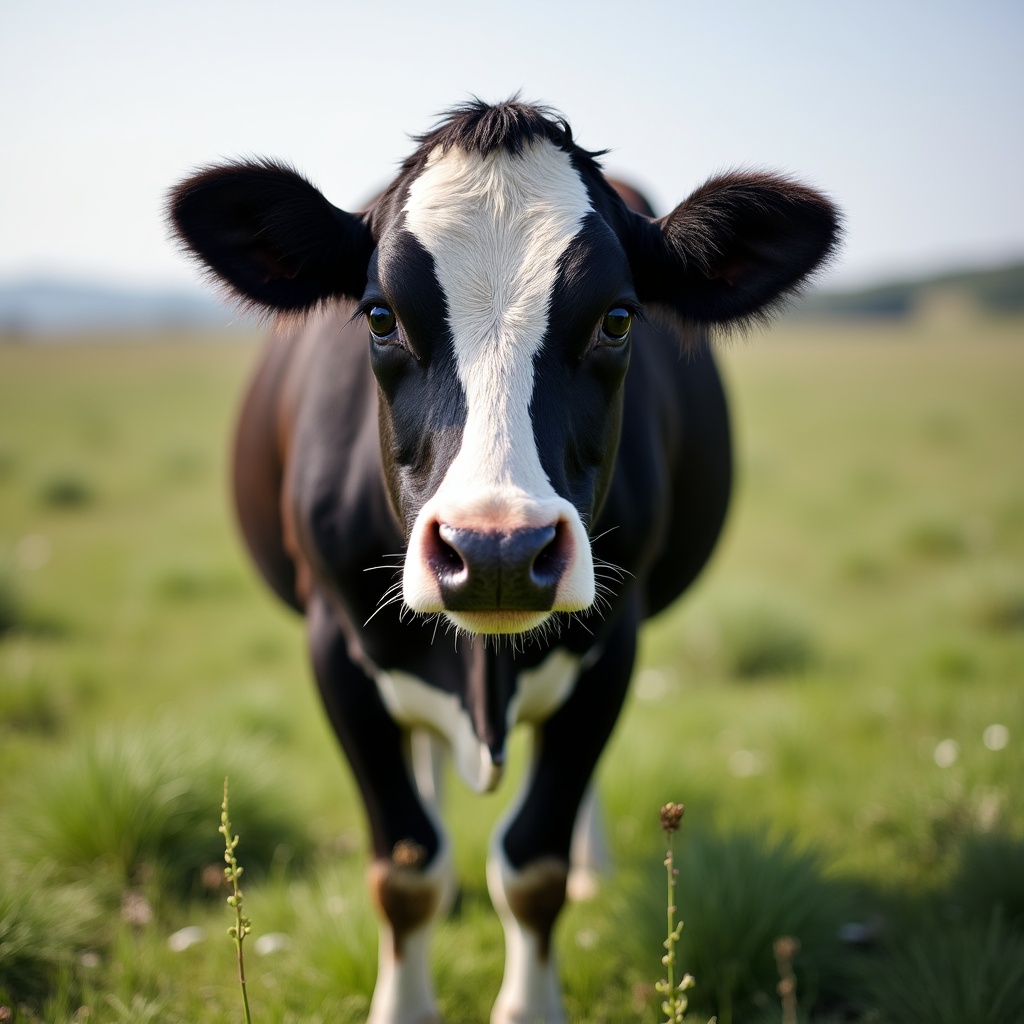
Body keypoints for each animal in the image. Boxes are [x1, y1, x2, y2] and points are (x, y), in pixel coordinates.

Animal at [169, 99, 839, 1024]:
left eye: (618, 318)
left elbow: (534, 864)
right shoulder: (334, 642)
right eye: (380, 316)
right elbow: (407, 864)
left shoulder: (613, 642)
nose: (496, 548)